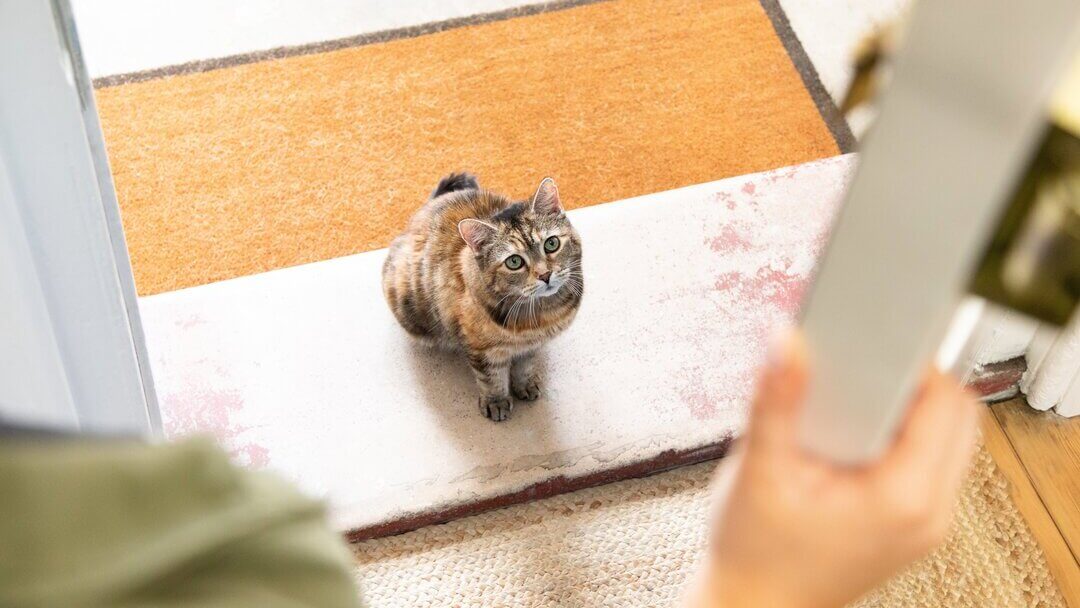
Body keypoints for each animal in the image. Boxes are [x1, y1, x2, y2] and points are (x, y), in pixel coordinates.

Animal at [380, 173, 583, 421]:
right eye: (514, 262)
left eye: (551, 243)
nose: (545, 275)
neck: (542, 314)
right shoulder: (481, 349)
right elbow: (491, 378)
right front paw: (496, 402)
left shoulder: (532, 345)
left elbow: (525, 366)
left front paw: (524, 384)